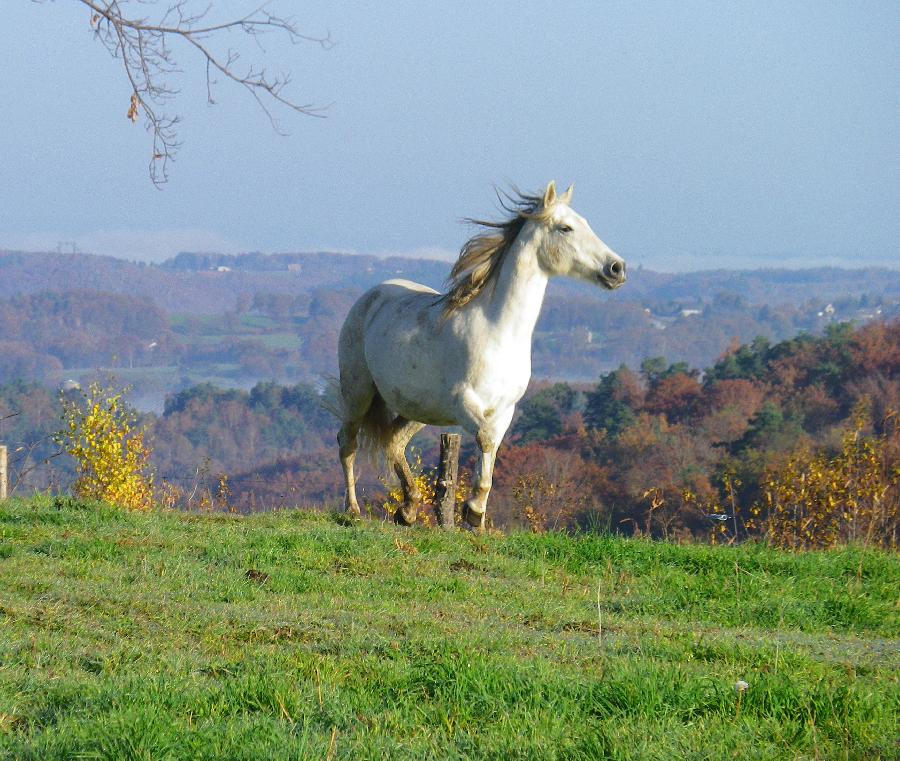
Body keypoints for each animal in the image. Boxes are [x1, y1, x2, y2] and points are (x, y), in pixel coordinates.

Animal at [332, 183, 624, 528]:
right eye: (565, 228)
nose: (617, 268)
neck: (498, 331)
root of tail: (373, 295)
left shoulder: (504, 410)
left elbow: (492, 450)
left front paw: (477, 517)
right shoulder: (465, 404)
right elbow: (484, 439)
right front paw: (472, 510)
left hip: (418, 407)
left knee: (394, 442)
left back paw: (408, 510)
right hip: (359, 393)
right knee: (347, 442)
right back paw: (353, 509)